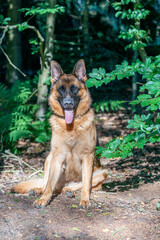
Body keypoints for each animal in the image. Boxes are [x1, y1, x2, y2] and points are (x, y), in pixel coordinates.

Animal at [11, 59, 107, 208]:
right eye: (61, 89)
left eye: (74, 89)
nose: (68, 103)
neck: (71, 126)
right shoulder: (57, 156)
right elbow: (49, 184)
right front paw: (44, 199)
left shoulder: (88, 156)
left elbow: (86, 183)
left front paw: (85, 200)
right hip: (49, 158)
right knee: (49, 184)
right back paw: (39, 190)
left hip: (102, 172)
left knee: (80, 185)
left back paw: (69, 190)